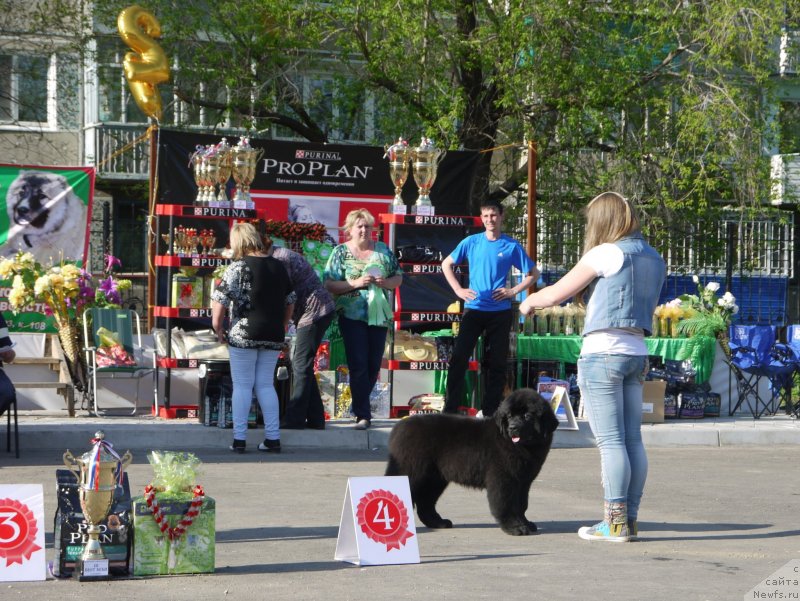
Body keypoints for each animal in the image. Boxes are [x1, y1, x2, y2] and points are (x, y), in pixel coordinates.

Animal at [384, 390, 560, 536]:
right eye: (509, 416)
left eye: (527, 416)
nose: (513, 427)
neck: (522, 446)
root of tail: (399, 426)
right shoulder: (504, 478)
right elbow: (506, 504)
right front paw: (514, 527)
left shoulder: (523, 481)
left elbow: (521, 505)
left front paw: (526, 523)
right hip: (412, 472)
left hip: (435, 478)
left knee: (425, 502)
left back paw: (438, 522)